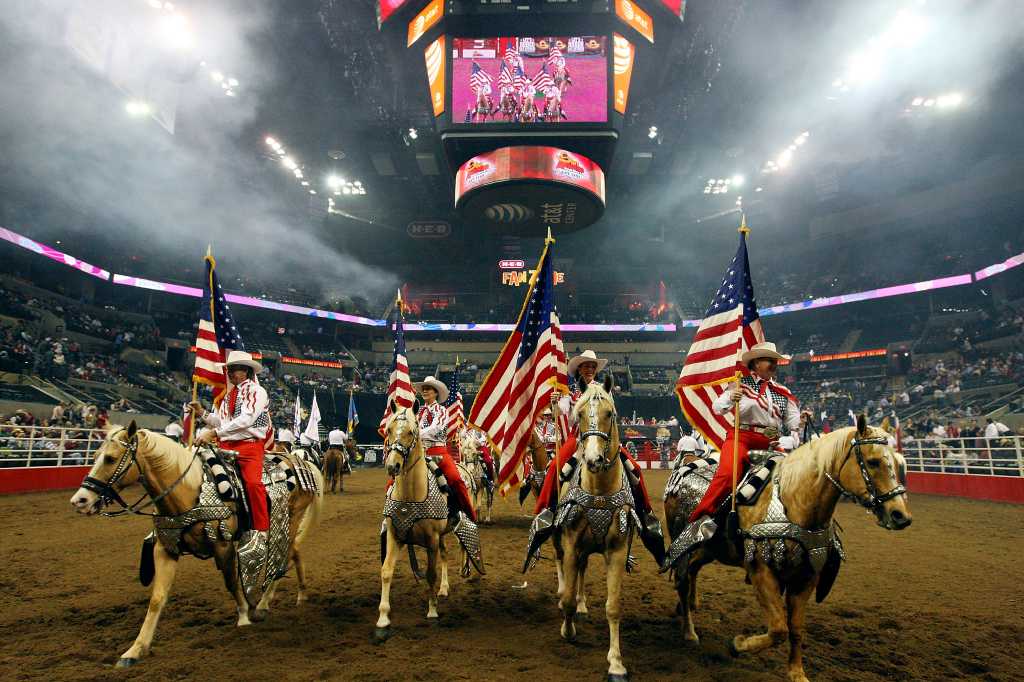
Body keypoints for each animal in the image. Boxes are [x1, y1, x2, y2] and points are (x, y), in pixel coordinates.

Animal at [68, 419, 321, 663]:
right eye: (94, 457)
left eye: (110, 459)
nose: (80, 500)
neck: (186, 490)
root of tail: (301, 463)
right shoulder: (165, 549)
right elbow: (157, 598)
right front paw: (136, 649)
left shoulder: (223, 546)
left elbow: (231, 582)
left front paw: (243, 617)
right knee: (294, 552)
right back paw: (301, 594)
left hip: (291, 518)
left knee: (283, 558)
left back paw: (263, 603)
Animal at [557, 376, 634, 679]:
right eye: (578, 414)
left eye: (609, 413)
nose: (593, 459)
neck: (599, 490)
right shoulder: (570, 543)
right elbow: (567, 596)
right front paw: (568, 630)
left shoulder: (617, 550)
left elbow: (613, 607)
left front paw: (616, 662)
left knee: (582, 570)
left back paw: (582, 603)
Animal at [663, 413, 913, 679]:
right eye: (873, 462)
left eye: (897, 463)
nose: (900, 515)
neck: (796, 501)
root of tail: (686, 464)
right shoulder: (761, 572)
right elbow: (778, 628)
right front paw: (738, 644)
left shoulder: (807, 577)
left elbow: (795, 628)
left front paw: (796, 672)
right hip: (686, 543)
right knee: (682, 578)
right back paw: (689, 631)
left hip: (709, 550)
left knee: (692, 571)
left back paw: (689, 604)